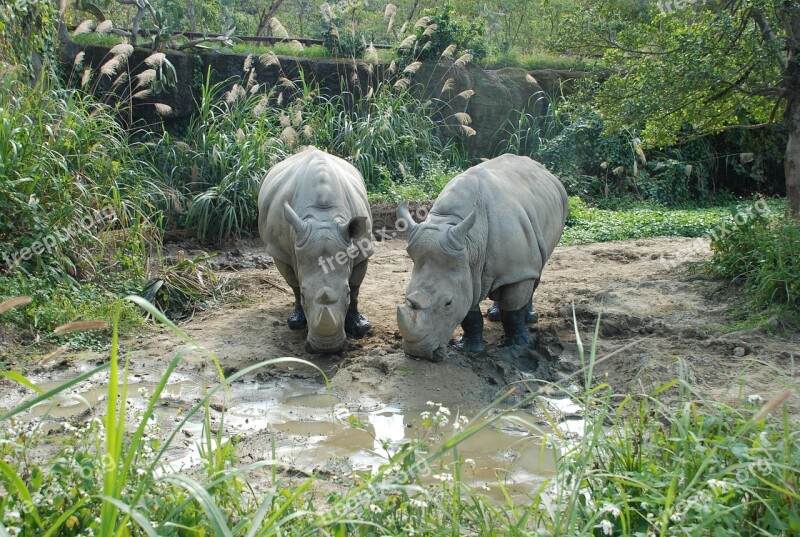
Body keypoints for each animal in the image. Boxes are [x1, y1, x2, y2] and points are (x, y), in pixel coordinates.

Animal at [258, 147, 374, 352]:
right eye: (305, 297)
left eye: (346, 294)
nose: (326, 348)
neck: (323, 216)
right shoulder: (279, 252)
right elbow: (293, 283)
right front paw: (296, 322)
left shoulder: (361, 250)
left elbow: (356, 286)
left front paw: (360, 326)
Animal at [396, 156, 568, 364]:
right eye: (406, 296)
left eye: (448, 303)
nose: (418, 353)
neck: (470, 244)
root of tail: (545, 171)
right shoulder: (467, 270)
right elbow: (470, 314)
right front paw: (469, 349)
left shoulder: (517, 267)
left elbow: (513, 309)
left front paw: (521, 346)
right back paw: (494, 315)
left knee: (535, 271)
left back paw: (529, 319)